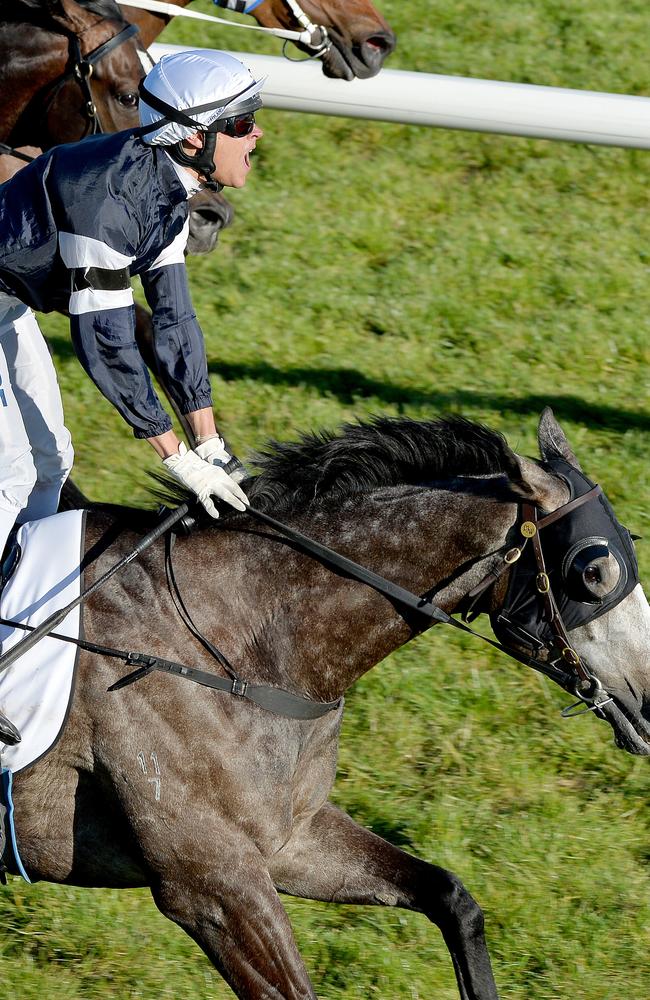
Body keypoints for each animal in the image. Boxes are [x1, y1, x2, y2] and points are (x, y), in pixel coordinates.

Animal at [5, 408, 648, 1000]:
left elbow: (453, 899)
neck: (239, 640)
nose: (646, 705)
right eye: (593, 570)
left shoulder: (293, 838)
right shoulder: (212, 884)